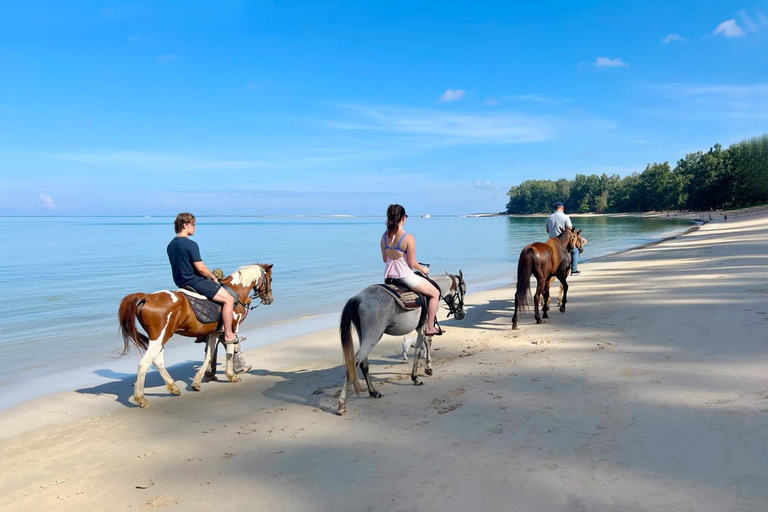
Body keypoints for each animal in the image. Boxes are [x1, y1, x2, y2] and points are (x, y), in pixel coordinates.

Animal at [117, 264, 272, 408]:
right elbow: (230, 351)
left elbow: (209, 355)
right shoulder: (232, 330)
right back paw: (141, 398)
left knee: (157, 361)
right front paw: (231, 375)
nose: (270, 299)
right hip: (159, 338)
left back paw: (172, 387)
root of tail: (147, 297)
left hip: (161, 339)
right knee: (144, 364)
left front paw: (197, 382)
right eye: (269, 279)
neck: (236, 291)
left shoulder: (214, 333)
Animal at [338, 270, 468, 414]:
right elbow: (420, 349)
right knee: (355, 362)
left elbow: (426, 345)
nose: (461, 314)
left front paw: (427, 368)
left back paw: (373, 392)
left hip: (365, 337)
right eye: (464, 291)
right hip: (373, 336)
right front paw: (417, 376)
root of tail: (358, 298)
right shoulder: (423, 328)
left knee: (363, 363)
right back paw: (342, 403)